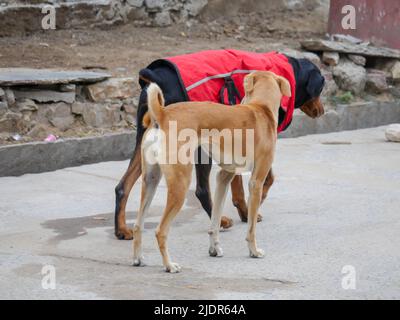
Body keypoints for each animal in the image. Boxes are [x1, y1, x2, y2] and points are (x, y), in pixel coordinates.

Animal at [115, 50, 324, 240]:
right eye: (321, 89)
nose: (322, 111)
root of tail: (156, 76)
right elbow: (263, 180)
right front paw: (251, 209)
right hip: (199, 152)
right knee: (201, 190)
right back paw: (220, 221)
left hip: (145, 147)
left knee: (122, 186)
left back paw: (121, 230)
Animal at [133, 70, 292, 272]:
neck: (260, 108)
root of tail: (162, 114)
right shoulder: (256, 182)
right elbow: (251, 227)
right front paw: (254, 251)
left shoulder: (223, 178)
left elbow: (215, 220)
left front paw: (214, 249)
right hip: (179, 185)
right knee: (160, 231)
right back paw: (169, 265)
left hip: (150, 180)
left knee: (138, 225)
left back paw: (138, 259)